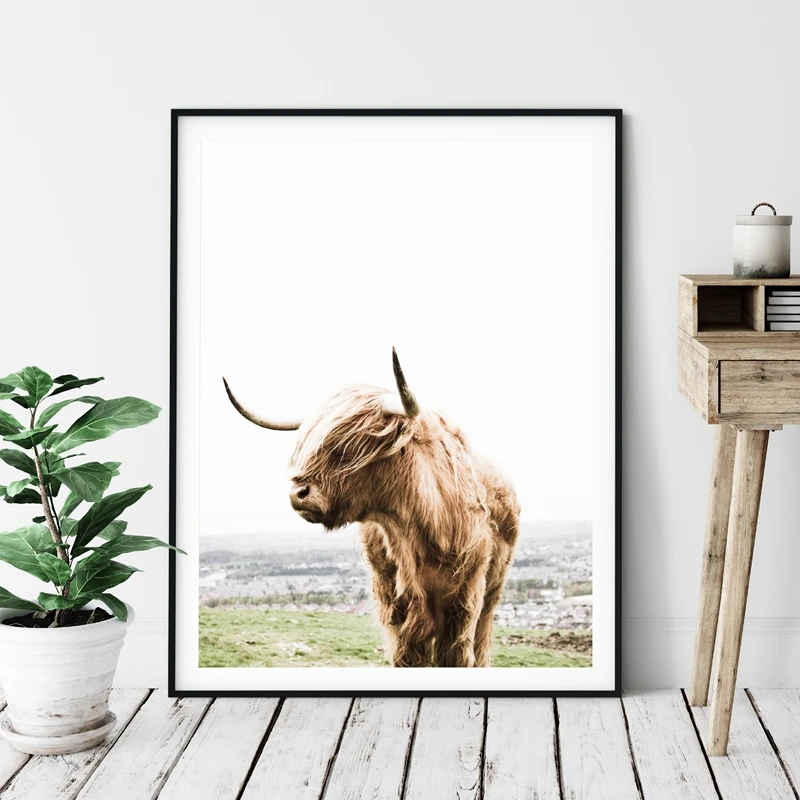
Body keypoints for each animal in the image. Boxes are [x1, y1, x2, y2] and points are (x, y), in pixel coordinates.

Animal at [223, 350, 520, 667]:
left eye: (351, 445)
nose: (297, 493)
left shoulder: (464, 600)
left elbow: (457, 656)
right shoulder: (395, 604)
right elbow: (408, 657)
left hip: (492, 591)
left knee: (482, 637)